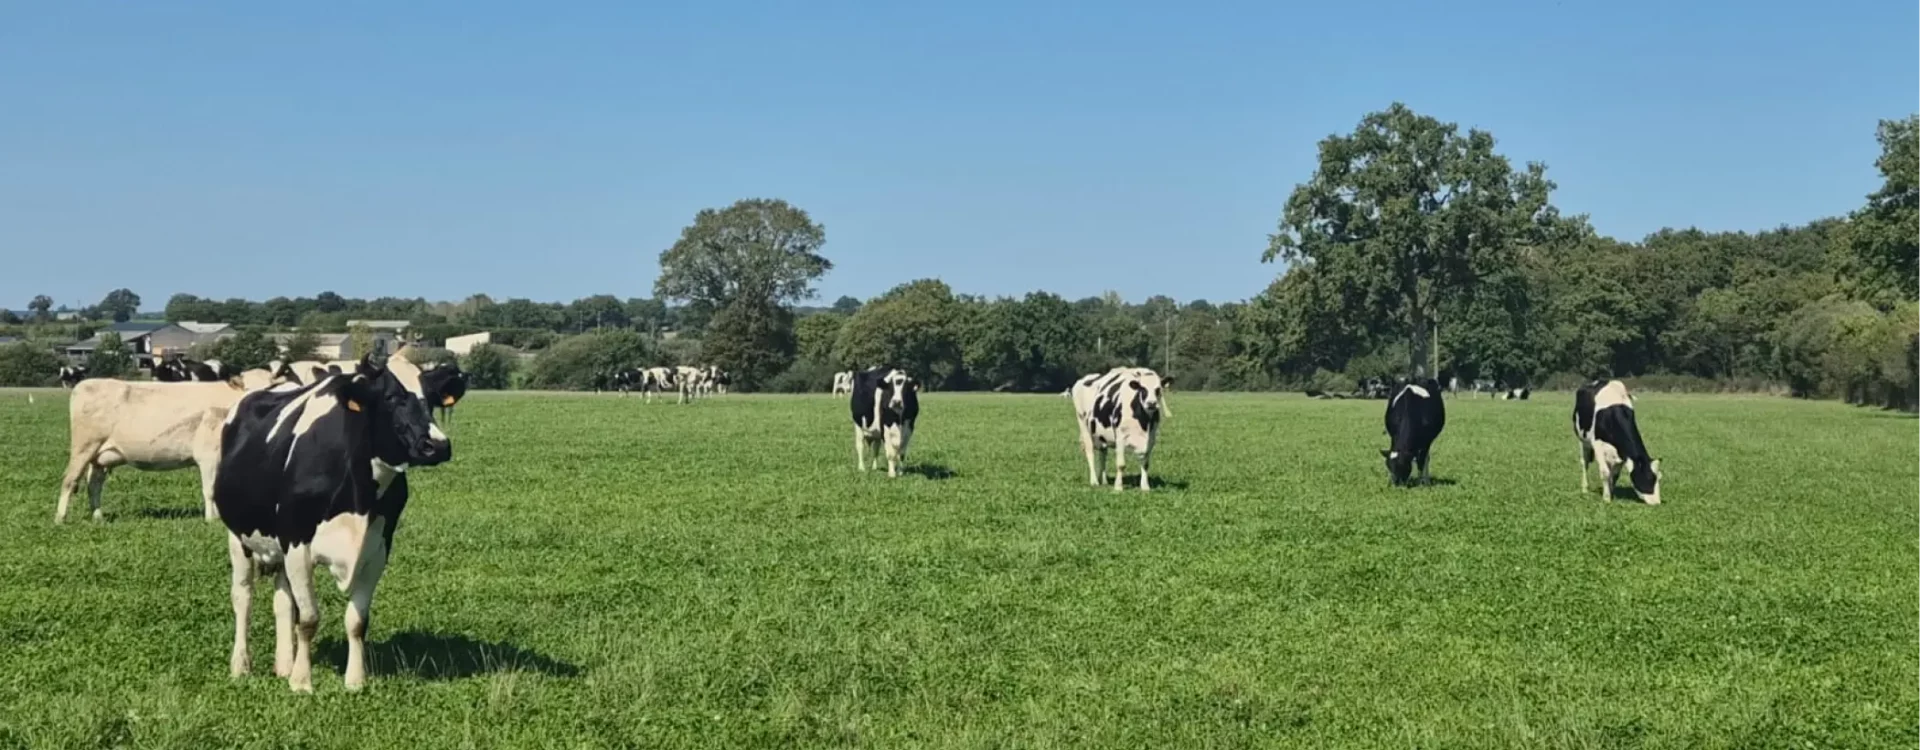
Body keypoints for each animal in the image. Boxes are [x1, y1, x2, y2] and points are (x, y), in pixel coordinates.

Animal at [55, 379, 248, 522]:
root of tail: (84, 384)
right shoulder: (208, 455)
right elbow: (210, 490)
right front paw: (211, 520)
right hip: (84, 447)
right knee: (69, 480)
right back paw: (60, 518)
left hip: (99, 457)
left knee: (94, 484)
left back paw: (98, 517)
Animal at [211, 353, 459, 693]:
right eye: (390, 397)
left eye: (432, 399)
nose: (437, 445)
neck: (359, 497)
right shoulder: (297, 543)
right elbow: (309, 619)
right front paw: (302, 682)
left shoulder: (377, 549)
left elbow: (356, 621)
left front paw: (354, 680)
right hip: (238, 537)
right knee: (242, 597)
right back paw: (241, 665)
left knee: (282, 601)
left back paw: (283, 665)